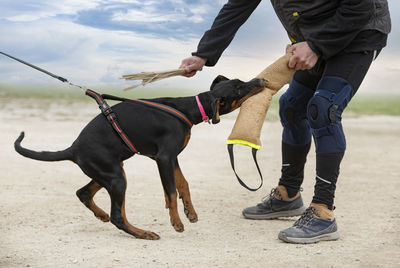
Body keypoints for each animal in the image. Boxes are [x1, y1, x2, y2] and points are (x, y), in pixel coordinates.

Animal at [14, 75, 266, 239]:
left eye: (240, 82)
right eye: (239, 88)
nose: (262, 81)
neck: (186, 108)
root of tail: (73, 148)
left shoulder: (171, 158)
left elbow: (183, 184)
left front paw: (190, 212)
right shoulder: (164, 158)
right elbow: (171, 192)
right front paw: (177, 222)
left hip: (112, 171)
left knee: (84, 193)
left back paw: (103, 215)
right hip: (116, 177)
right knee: (117, 216)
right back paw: (142, 232)